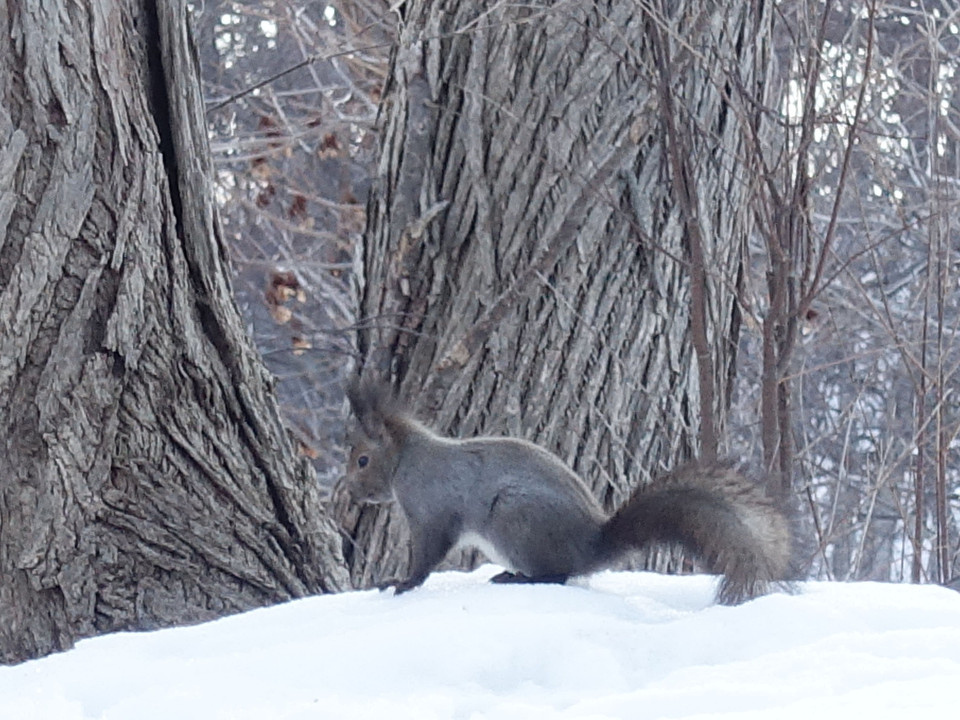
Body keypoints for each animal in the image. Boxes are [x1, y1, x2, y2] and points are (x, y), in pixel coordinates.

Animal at [344, 382, 788, 600]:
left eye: (363, 460)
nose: (352, 494)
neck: (407, 459)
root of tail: (590, 546)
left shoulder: (433, 510)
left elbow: (428, 554)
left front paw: (402, 583)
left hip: (514, 518)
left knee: (557, 575)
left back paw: (518, 580)